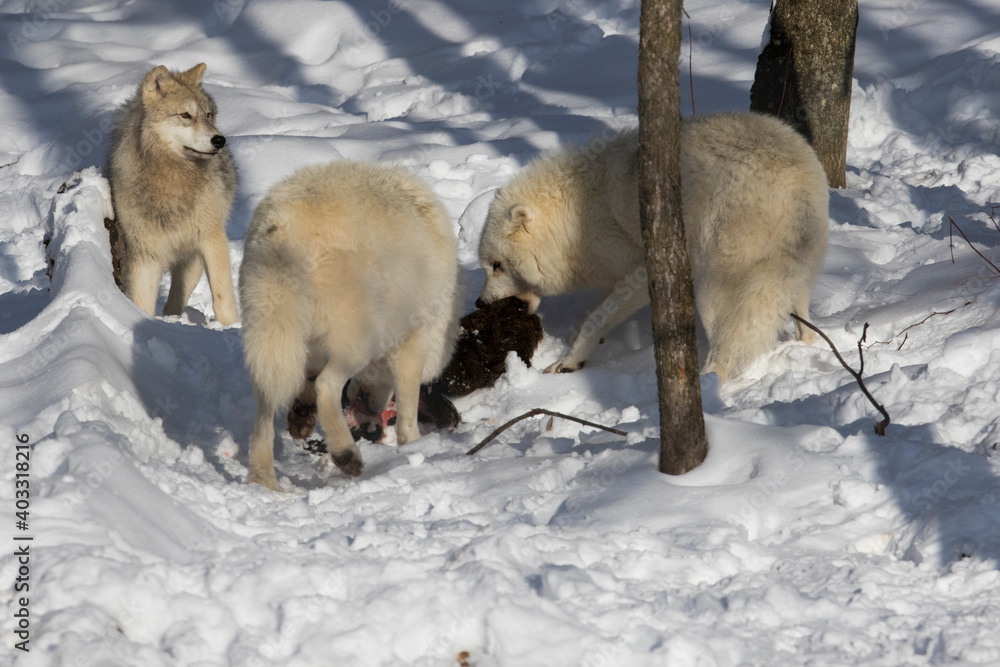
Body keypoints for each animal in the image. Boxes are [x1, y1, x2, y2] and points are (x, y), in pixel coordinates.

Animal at [107, 63, 239, 325]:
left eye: (208, 115)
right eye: (186, 115)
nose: (220, 140)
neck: (173, 180)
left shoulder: (212, 239)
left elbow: (223, 299)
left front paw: (231, 327)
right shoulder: (144, 256)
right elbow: (141, 303)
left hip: (192, 261)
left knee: (175, 301)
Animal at [239, 161, 461, 491]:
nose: (372, 409)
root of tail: (286, 226)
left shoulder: (313, 349)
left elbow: (307, 381)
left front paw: (301, 418)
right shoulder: (410, 342)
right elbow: (408, 408)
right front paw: (413, 447)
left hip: (271, 340)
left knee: (266, 411)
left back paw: (263, 479)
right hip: (358, 342)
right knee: (327, 386)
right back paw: (346, 454)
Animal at [477, 112, 829, 383]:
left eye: (497, 265)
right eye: (487, 266)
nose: (480, 304)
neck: (575, 218)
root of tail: (795, 183)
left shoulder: (640, 271)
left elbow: (596, 318)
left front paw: (568, 362)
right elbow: (595, 315)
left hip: (716, 289)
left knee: (725, 352)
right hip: (793, 279)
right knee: (805, 330)